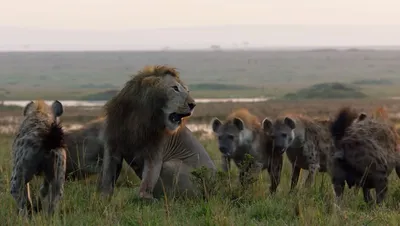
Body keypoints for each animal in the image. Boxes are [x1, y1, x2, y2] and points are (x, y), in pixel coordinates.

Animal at [99, 65, 217, 200]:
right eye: (175, 88)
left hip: (171, 166)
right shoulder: (112, 147)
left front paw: (145, 197)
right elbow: (107, 177)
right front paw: (103, 199)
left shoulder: (154, 153)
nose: (193, 104)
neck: (137, 118)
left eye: (187, 90)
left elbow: (148, 180)